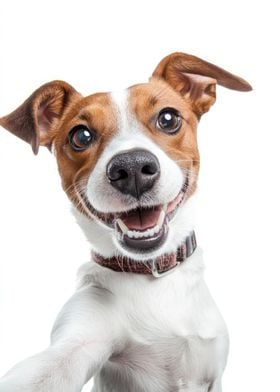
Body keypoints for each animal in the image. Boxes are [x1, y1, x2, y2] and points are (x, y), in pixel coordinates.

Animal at [0, 52, 252, 392]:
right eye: (81, 136)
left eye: (168, 118)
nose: (131, 168)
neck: (154, 277)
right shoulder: (79, 337)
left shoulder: (211, 371)